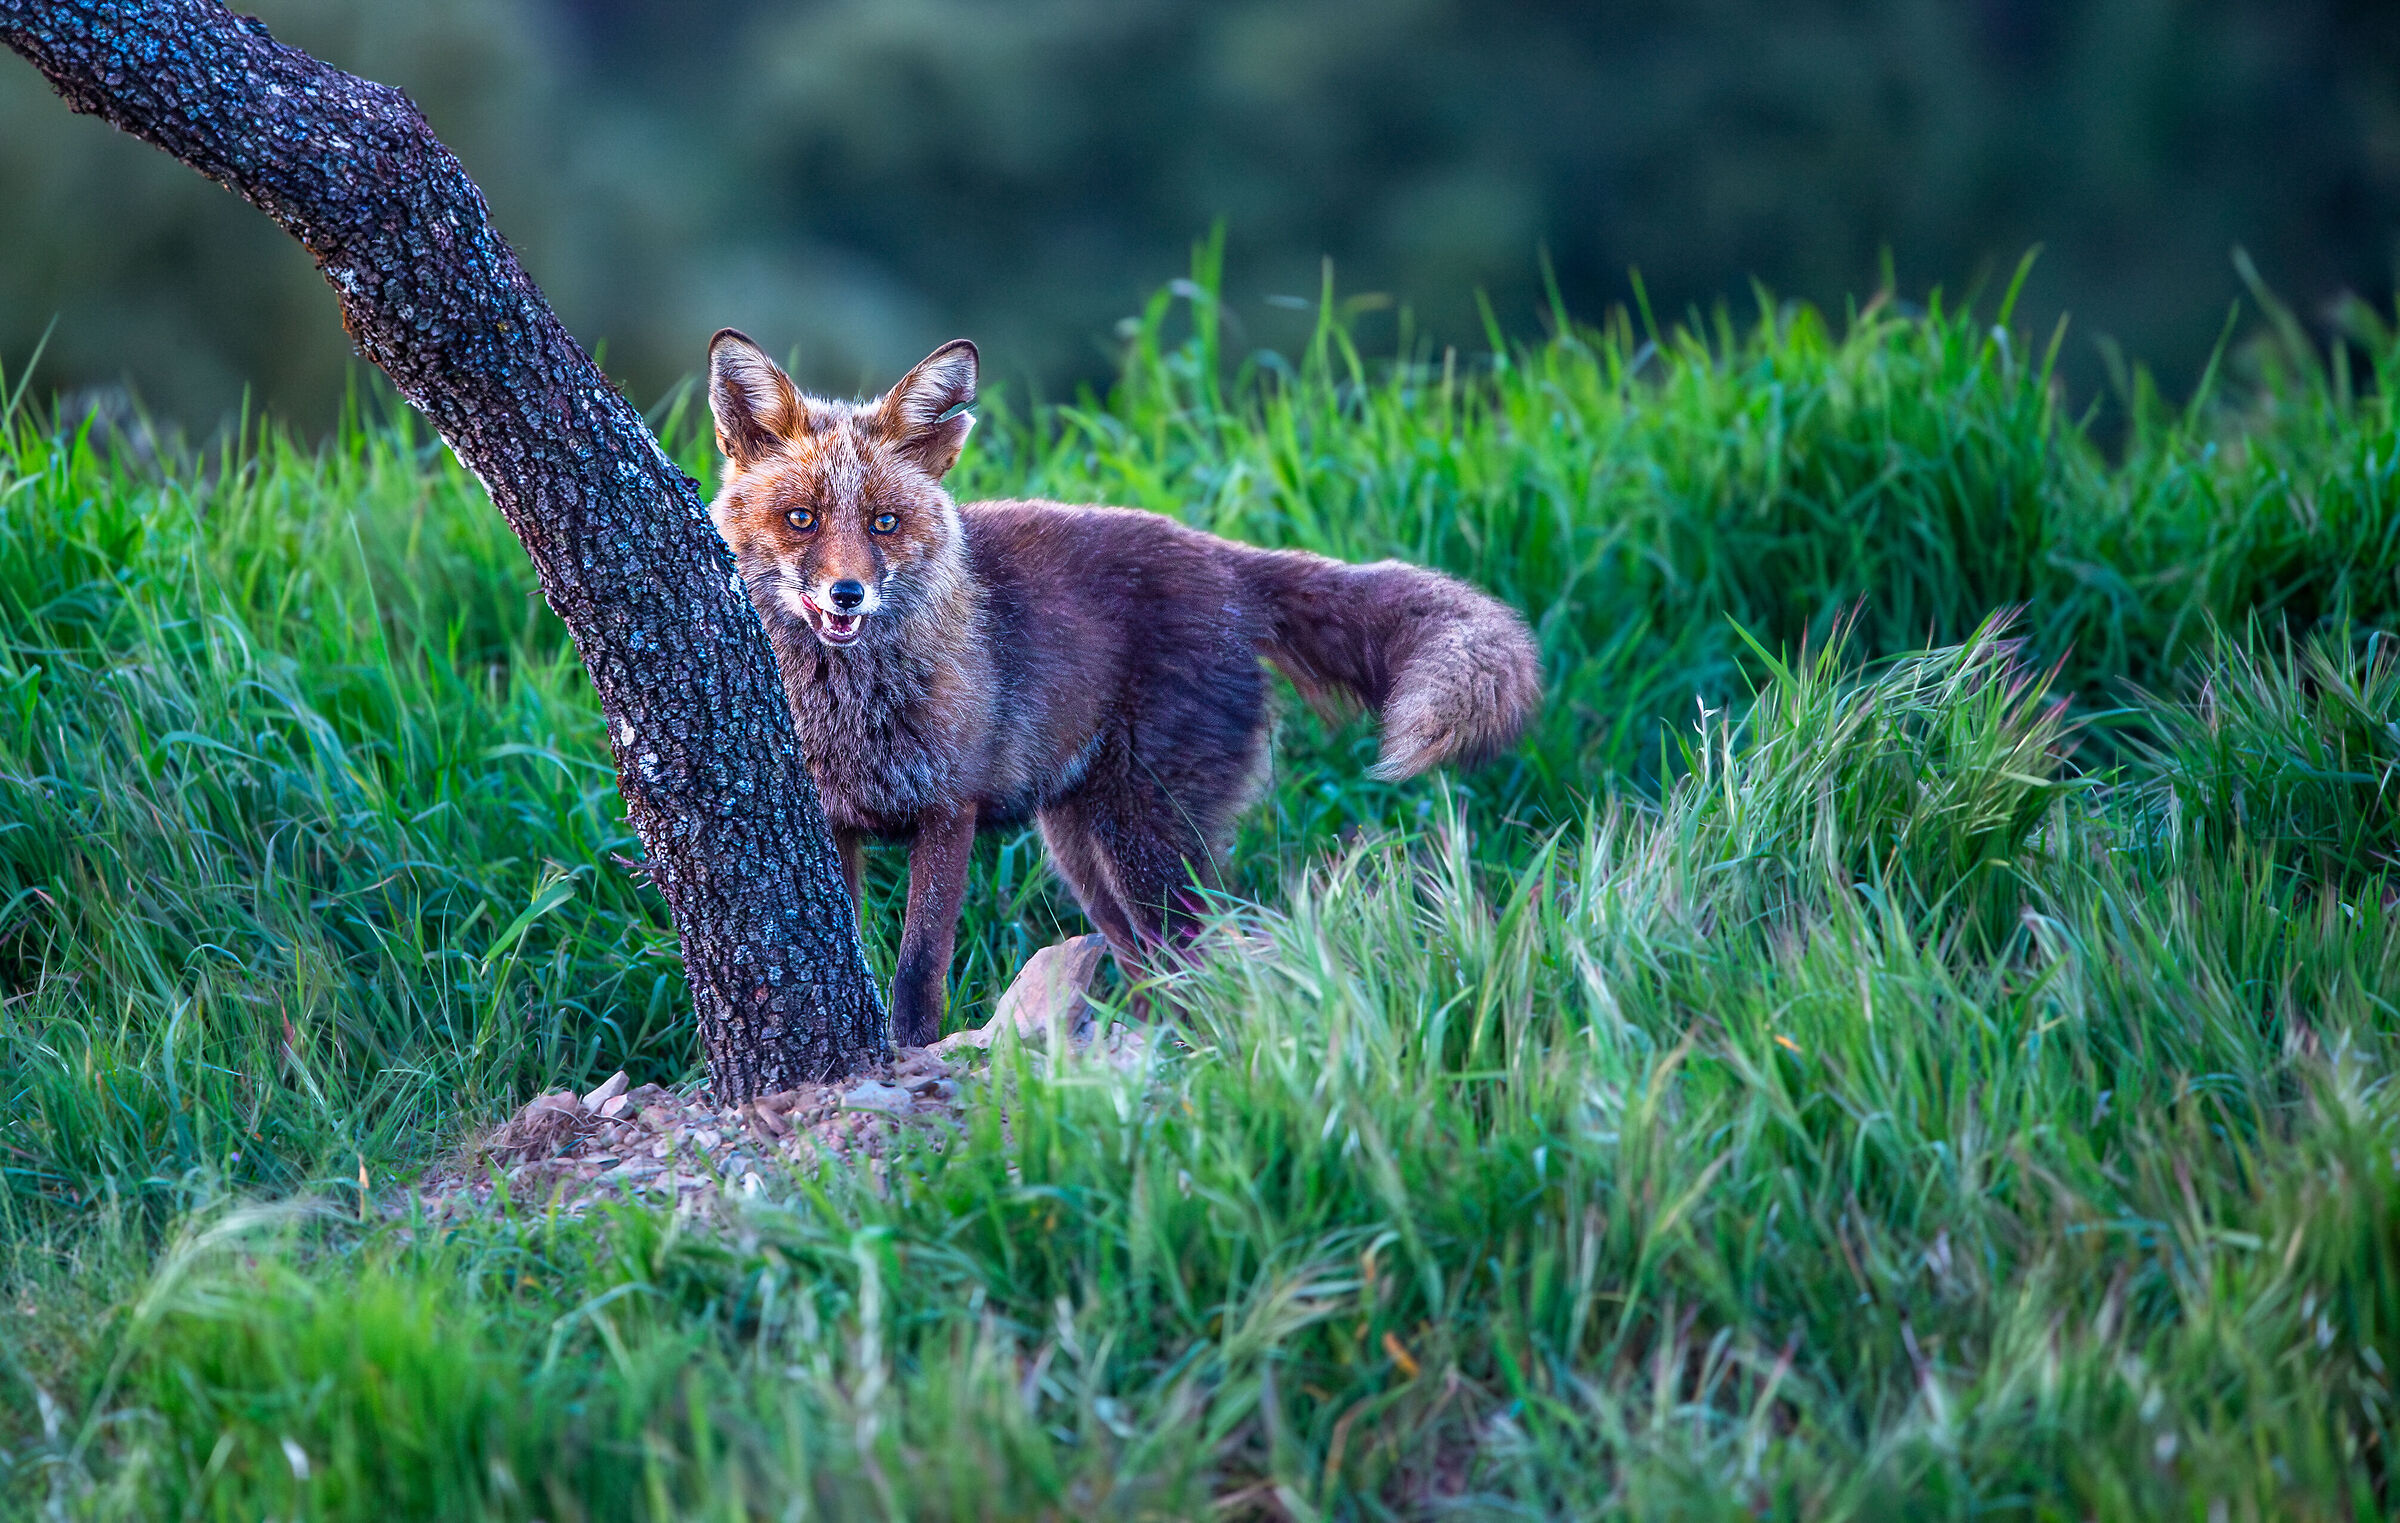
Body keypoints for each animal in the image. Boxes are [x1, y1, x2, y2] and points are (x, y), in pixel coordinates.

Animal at [704, 329, 1541, 1045]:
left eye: (883, 522)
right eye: (802, 519)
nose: (847, 595)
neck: (849, 715)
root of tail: (1226, 558)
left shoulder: (950, 808)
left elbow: (917, 976)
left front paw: (910, 1055)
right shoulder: (833, 823)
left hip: (1142, 845)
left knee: (1207, 957)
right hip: (1086, 853)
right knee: (1158, 970)